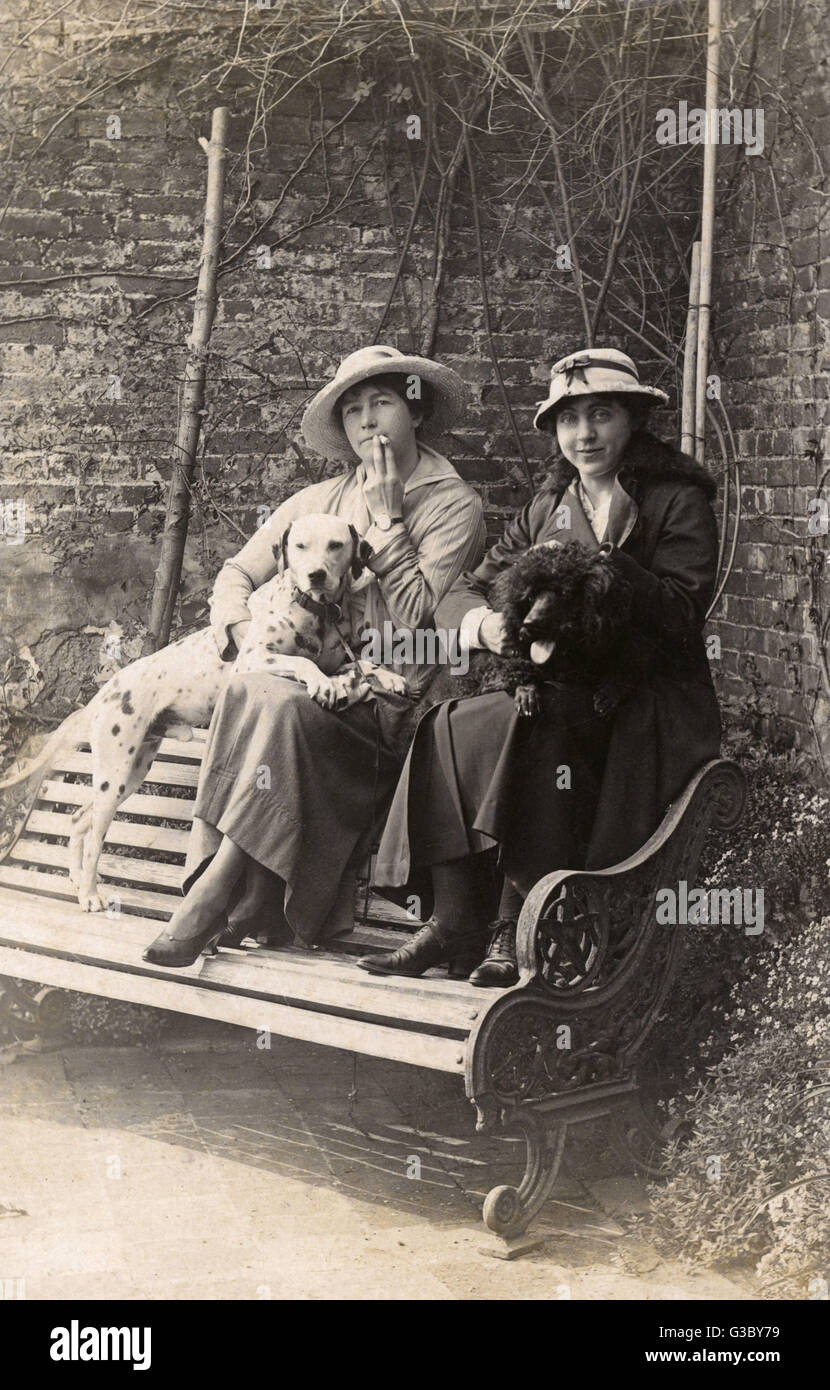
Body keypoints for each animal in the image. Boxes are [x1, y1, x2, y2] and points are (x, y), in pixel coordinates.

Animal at [0, 511, 408, 911]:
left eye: (335, 545)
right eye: (300, 545)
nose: (316, 575)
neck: (313, 613)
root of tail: (102, 696)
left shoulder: (338, 660)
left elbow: (360, 665)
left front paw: (388, 677)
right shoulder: (254, 660)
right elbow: (304, 664)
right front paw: (325, 683)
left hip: (132, 774)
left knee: (78, 819)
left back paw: (77, 880)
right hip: (115, 774)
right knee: (94, 834)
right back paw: (88, 893)